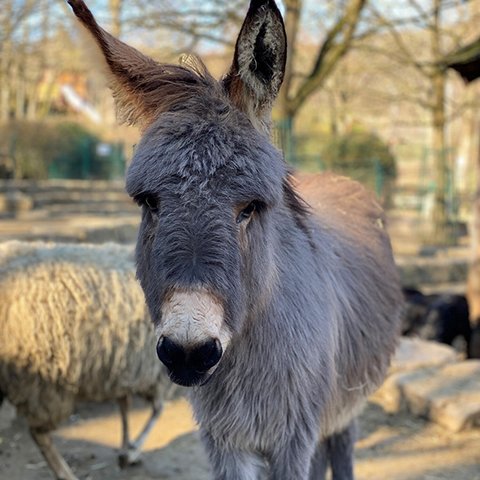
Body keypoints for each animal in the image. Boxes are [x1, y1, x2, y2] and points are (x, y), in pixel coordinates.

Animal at [0, 242, 182, 480]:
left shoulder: (125, 366)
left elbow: (125, 405)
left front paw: (126, 447)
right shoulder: (157, 372)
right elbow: (157, 410)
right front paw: (132, 451)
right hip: (41, 382)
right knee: (39, 433)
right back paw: (65, 473)